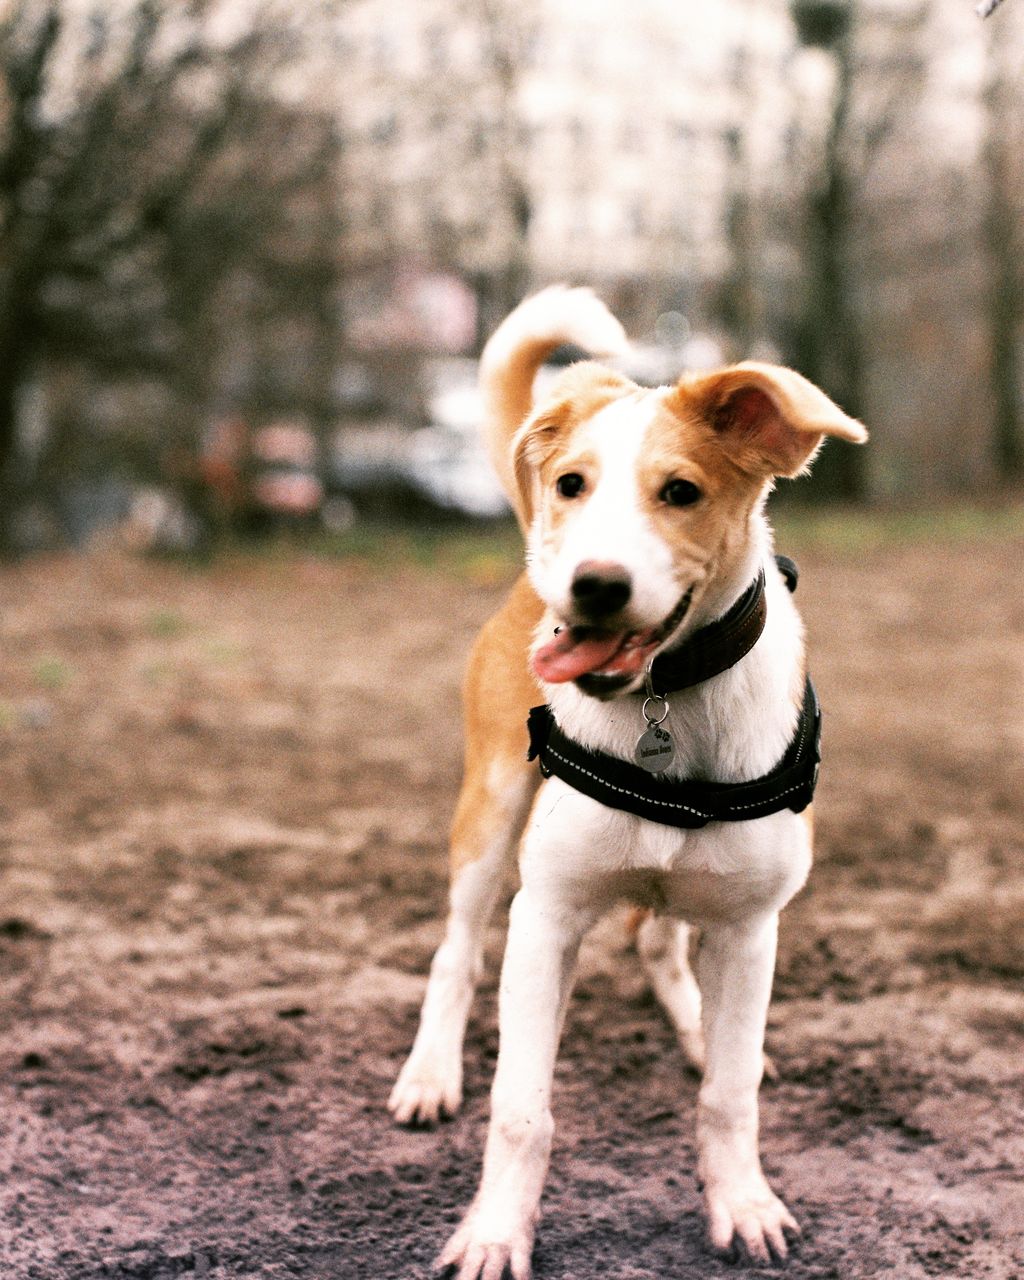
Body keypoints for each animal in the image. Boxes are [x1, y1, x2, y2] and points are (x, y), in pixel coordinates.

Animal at [389, 285, 870, 1274]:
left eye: (680, 492)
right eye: (573, 484)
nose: (592, 587)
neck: (664, 705)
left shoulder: (752, 927)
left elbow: (730, 1095)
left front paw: (744, 1203)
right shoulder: (546, 916)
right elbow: (521, 1109)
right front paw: (494, 1233)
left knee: (661, 945)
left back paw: (695, 1029)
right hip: (489, 816)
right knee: (457, 950)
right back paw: (428, 1074)